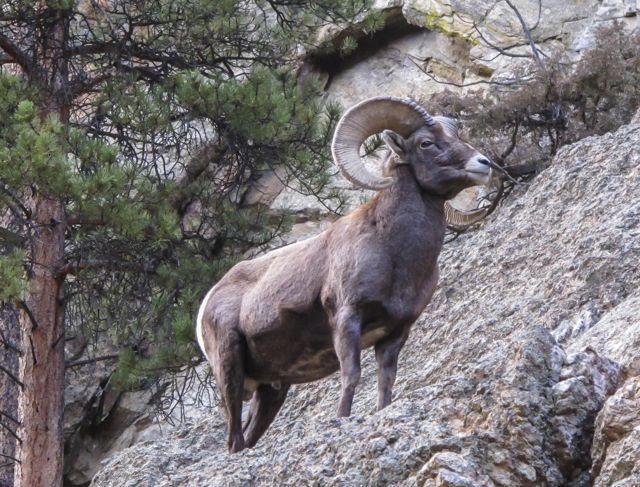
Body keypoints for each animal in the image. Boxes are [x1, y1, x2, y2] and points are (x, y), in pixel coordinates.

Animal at [196, 96, 496, 454]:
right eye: (426, 142)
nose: (484, 163)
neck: (393, 252)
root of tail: (208, 301)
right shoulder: (346, 318)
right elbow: (351, 374)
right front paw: (342, 420)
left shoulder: (395, 332)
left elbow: (385, 380)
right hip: (229, 369)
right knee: (233, 436)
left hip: (272, 391)